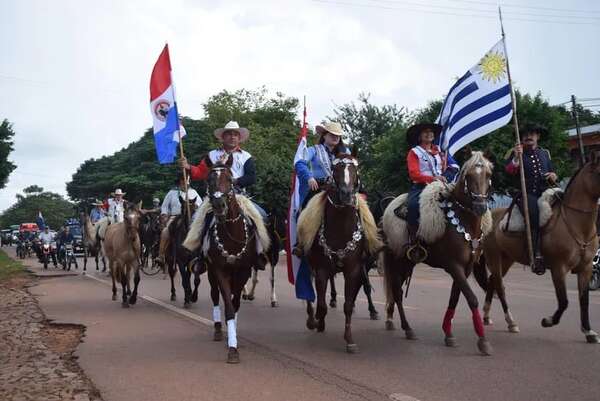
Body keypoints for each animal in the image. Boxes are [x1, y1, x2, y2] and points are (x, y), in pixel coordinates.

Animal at [302, 152, 382, 352]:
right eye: (335, 169)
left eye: (355, 170)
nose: (346, 195)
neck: (340, 227)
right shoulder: (321, 269)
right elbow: (321, 304)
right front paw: (318, 322)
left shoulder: (354, 269)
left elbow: (349, 303)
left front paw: (349, 339)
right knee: (309, 291)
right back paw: (312, 318)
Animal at [382, 149, 494, 354]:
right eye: (468, 176)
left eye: (488, 175)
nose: (480, 206)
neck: (462, 222)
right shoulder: (453, 266)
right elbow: (472, 298)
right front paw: (483, 341)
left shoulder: (465, 268)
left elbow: (455, 298)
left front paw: (448, 333)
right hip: (397, 260)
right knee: (397, 292)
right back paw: (407, 328)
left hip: (408, 263)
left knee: (397, 291)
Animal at [476, 148, 600, 342]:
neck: (576, 224)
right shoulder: (558, 268)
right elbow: (564, 301)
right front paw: (548, 321)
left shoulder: (586, 268)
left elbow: (583, 300)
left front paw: (588, 331)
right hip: (494, 258)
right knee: (500, 287)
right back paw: (511, 322)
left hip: (507, 260)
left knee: (492, 282)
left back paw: (487, 316)